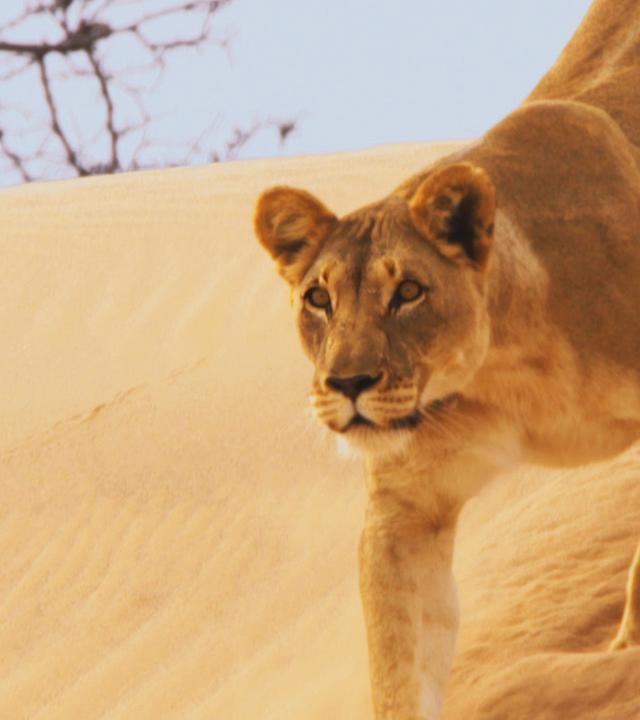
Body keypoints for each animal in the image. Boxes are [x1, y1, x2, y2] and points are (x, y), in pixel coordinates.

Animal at [254, 1, 640, 717]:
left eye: (408, 291)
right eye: (318, 298)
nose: (347, 382)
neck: (506, 372)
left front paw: (626, 649)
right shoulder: (406, 508)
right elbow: (401, 663)